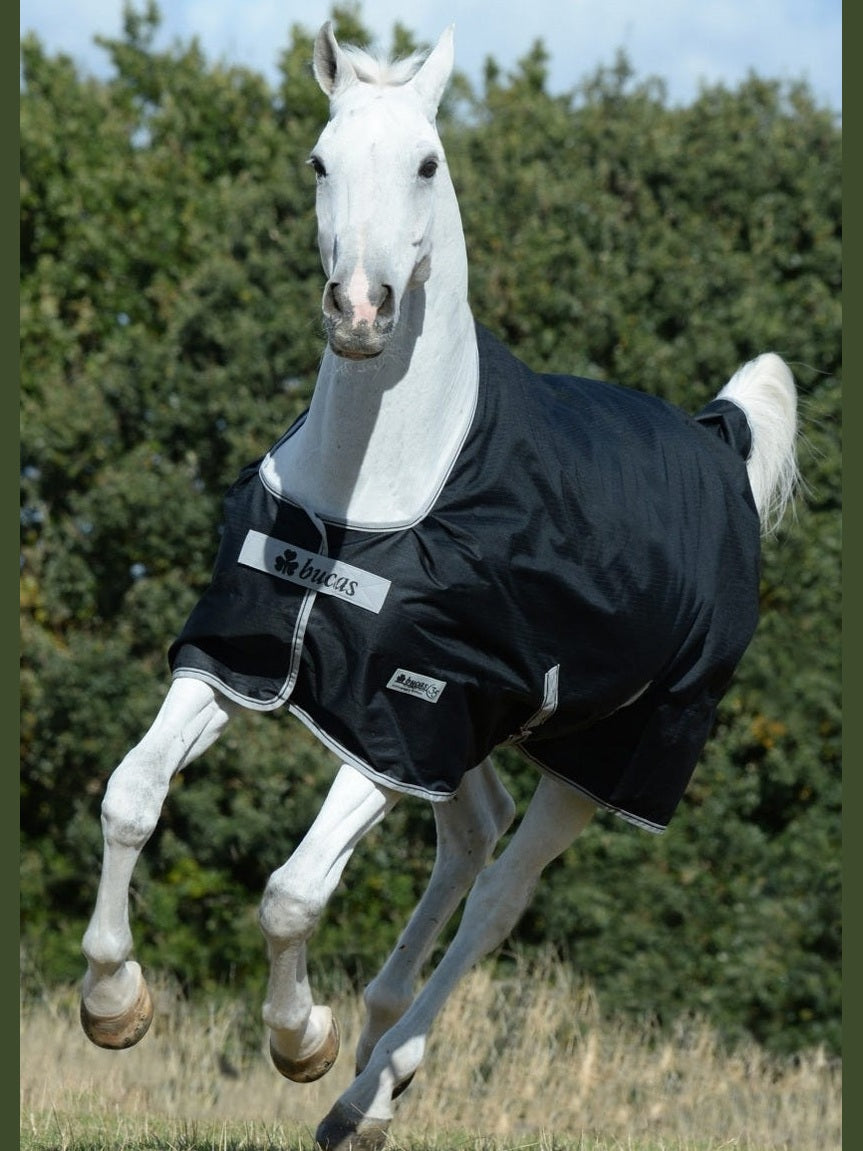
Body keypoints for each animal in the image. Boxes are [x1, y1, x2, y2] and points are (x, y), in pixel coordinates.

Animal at [79, 22, 799, 1151]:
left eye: (427, 163)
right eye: (318, 161)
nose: (361, 312)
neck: (372, 504)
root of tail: (720, 443)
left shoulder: (394, 727)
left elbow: (291, 893)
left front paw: (301, 1037)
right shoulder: (244, 664)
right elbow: (130, 795)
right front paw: (114, 1001)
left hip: (600, 761)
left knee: (500, 893)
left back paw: (370, 1084)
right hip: (472, 737)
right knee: (469, 836)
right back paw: (372, 1055)